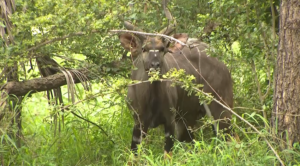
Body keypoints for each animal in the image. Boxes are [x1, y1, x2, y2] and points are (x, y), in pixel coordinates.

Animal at [118, 21, 233, 157]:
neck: (151, 102)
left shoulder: (170, 121)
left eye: (162, 49)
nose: (155, 65)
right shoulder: (138, 123)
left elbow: (167, 155)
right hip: (189, 118)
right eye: (143, 49)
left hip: (221, 108)